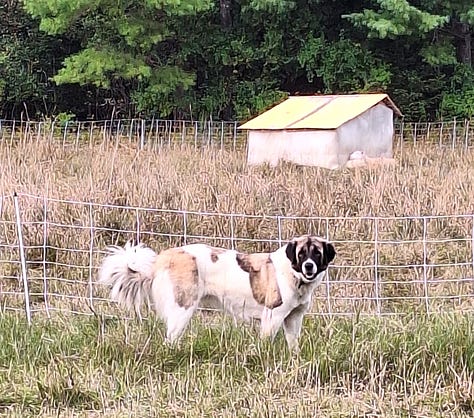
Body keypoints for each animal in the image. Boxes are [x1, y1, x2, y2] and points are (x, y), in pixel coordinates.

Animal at [98, 235, 336, 350]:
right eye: (301, 253)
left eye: (317, 253)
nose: (308, 267)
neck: (294, 275)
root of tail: (164, 257)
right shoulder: (273, 316)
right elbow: (266, 343)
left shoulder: (294, 318)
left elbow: (293, 345)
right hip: (182, 310)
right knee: (170, 340)